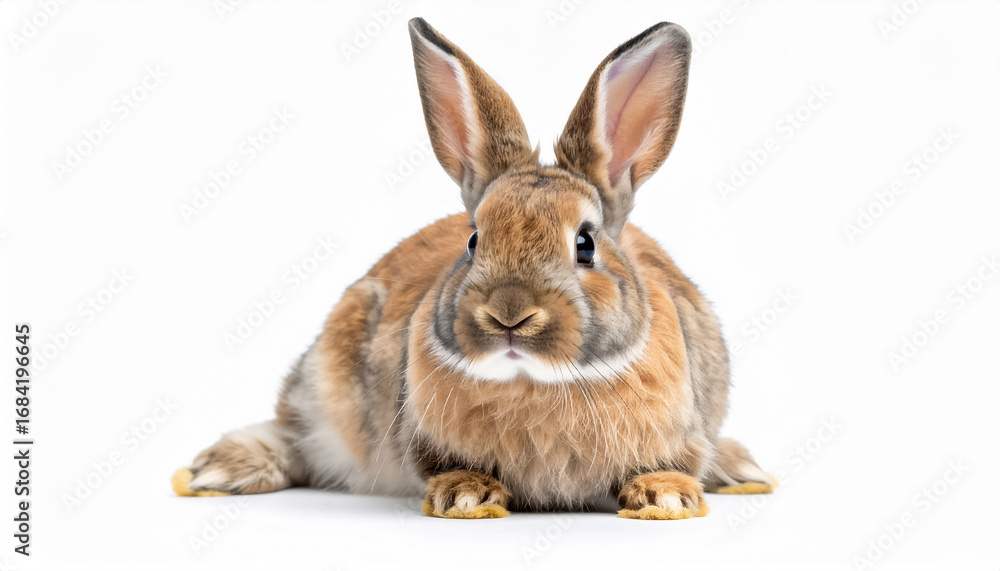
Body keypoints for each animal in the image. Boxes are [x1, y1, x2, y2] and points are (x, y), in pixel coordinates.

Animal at [173, 18, 776, 520]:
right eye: (473, 240)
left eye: (585, 244)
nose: (509, 316)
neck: (537, 381)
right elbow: (444, 467)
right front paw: (467, 496)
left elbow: (669, 464)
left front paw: (665, 497)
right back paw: (214, 472)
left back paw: (741, 470)